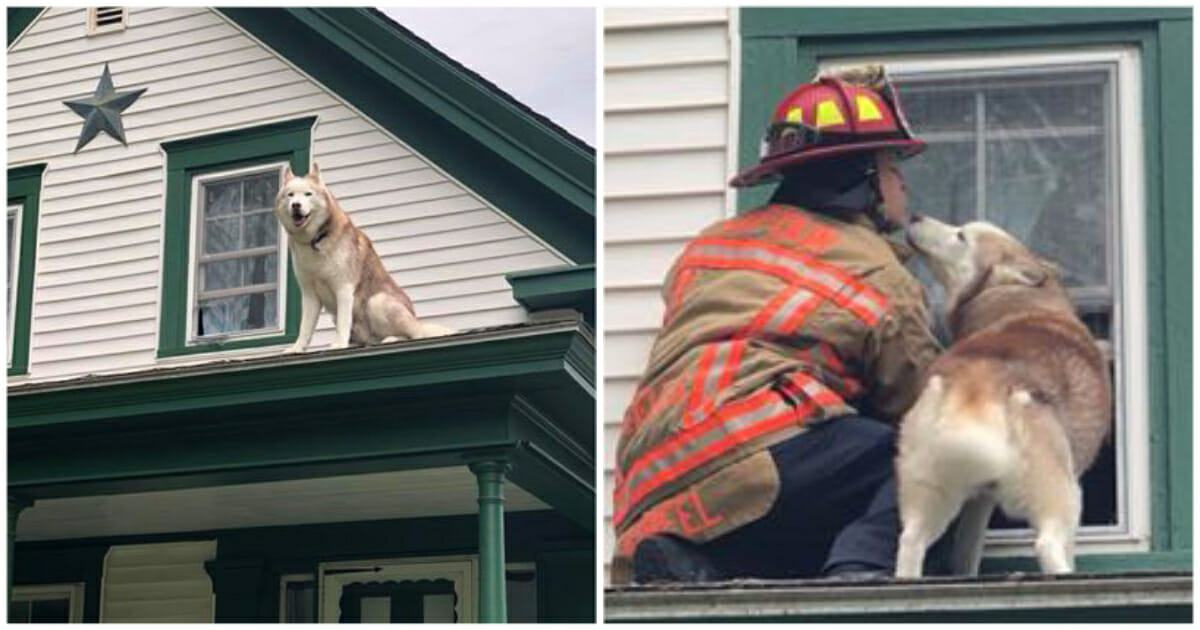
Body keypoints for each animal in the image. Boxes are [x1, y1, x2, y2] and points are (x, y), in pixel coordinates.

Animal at [274, 160, 456, 352]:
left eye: (308, 194)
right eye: (290, 195)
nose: (296, 205)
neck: (316, 239)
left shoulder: (344, 287)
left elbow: (343, 322)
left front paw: (339, 345)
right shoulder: (310, 294)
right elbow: (305, 328)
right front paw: (296, 349)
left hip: (377, 301)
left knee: (415, 335)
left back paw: (391, 339)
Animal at [897, 214, 1108, 573]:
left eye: (960, 235)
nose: (914, 216)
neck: (1013, 298)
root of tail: (977, 382)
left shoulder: (980, 501)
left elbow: (966, 554)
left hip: (930, 492)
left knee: (910, 542)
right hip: (1063, 494)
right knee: (1048, 545)